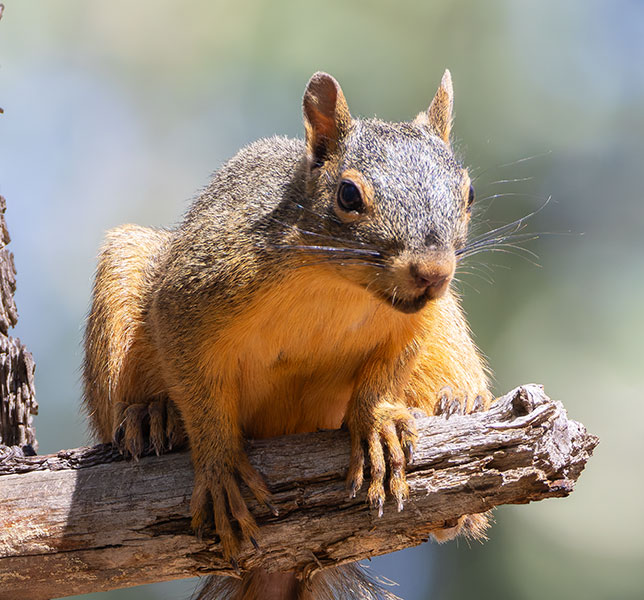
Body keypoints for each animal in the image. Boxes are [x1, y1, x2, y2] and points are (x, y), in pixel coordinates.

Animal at [83, 70, 492, 600]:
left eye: (469, 194)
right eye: (348, 196)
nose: (434, 273)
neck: (339, 288)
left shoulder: (416, 323)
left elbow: (385, 374)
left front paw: (376, 422)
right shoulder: (193, 292)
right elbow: (195, 381)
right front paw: (218, 464)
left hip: (447, 328)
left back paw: (460, 401)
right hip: (124, 271)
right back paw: (149, 415)